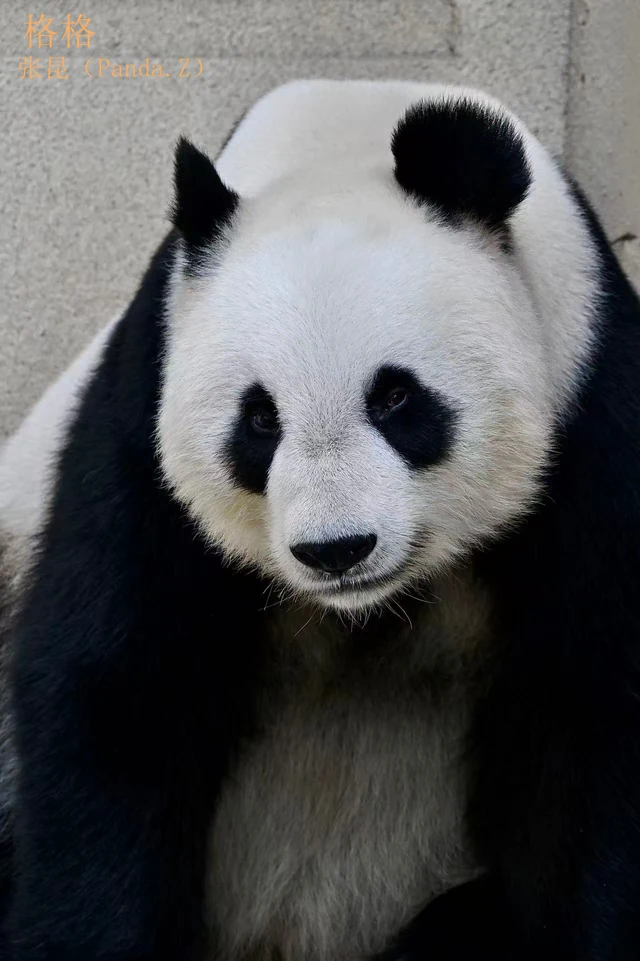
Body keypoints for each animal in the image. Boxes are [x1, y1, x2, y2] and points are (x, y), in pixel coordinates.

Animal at [0, 78, 639, 961]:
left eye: (397, 397)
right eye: (259, 419)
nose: (337, 549)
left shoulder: (590, 417)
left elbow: (589, 719)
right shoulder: (141, 424)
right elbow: (115, 695)